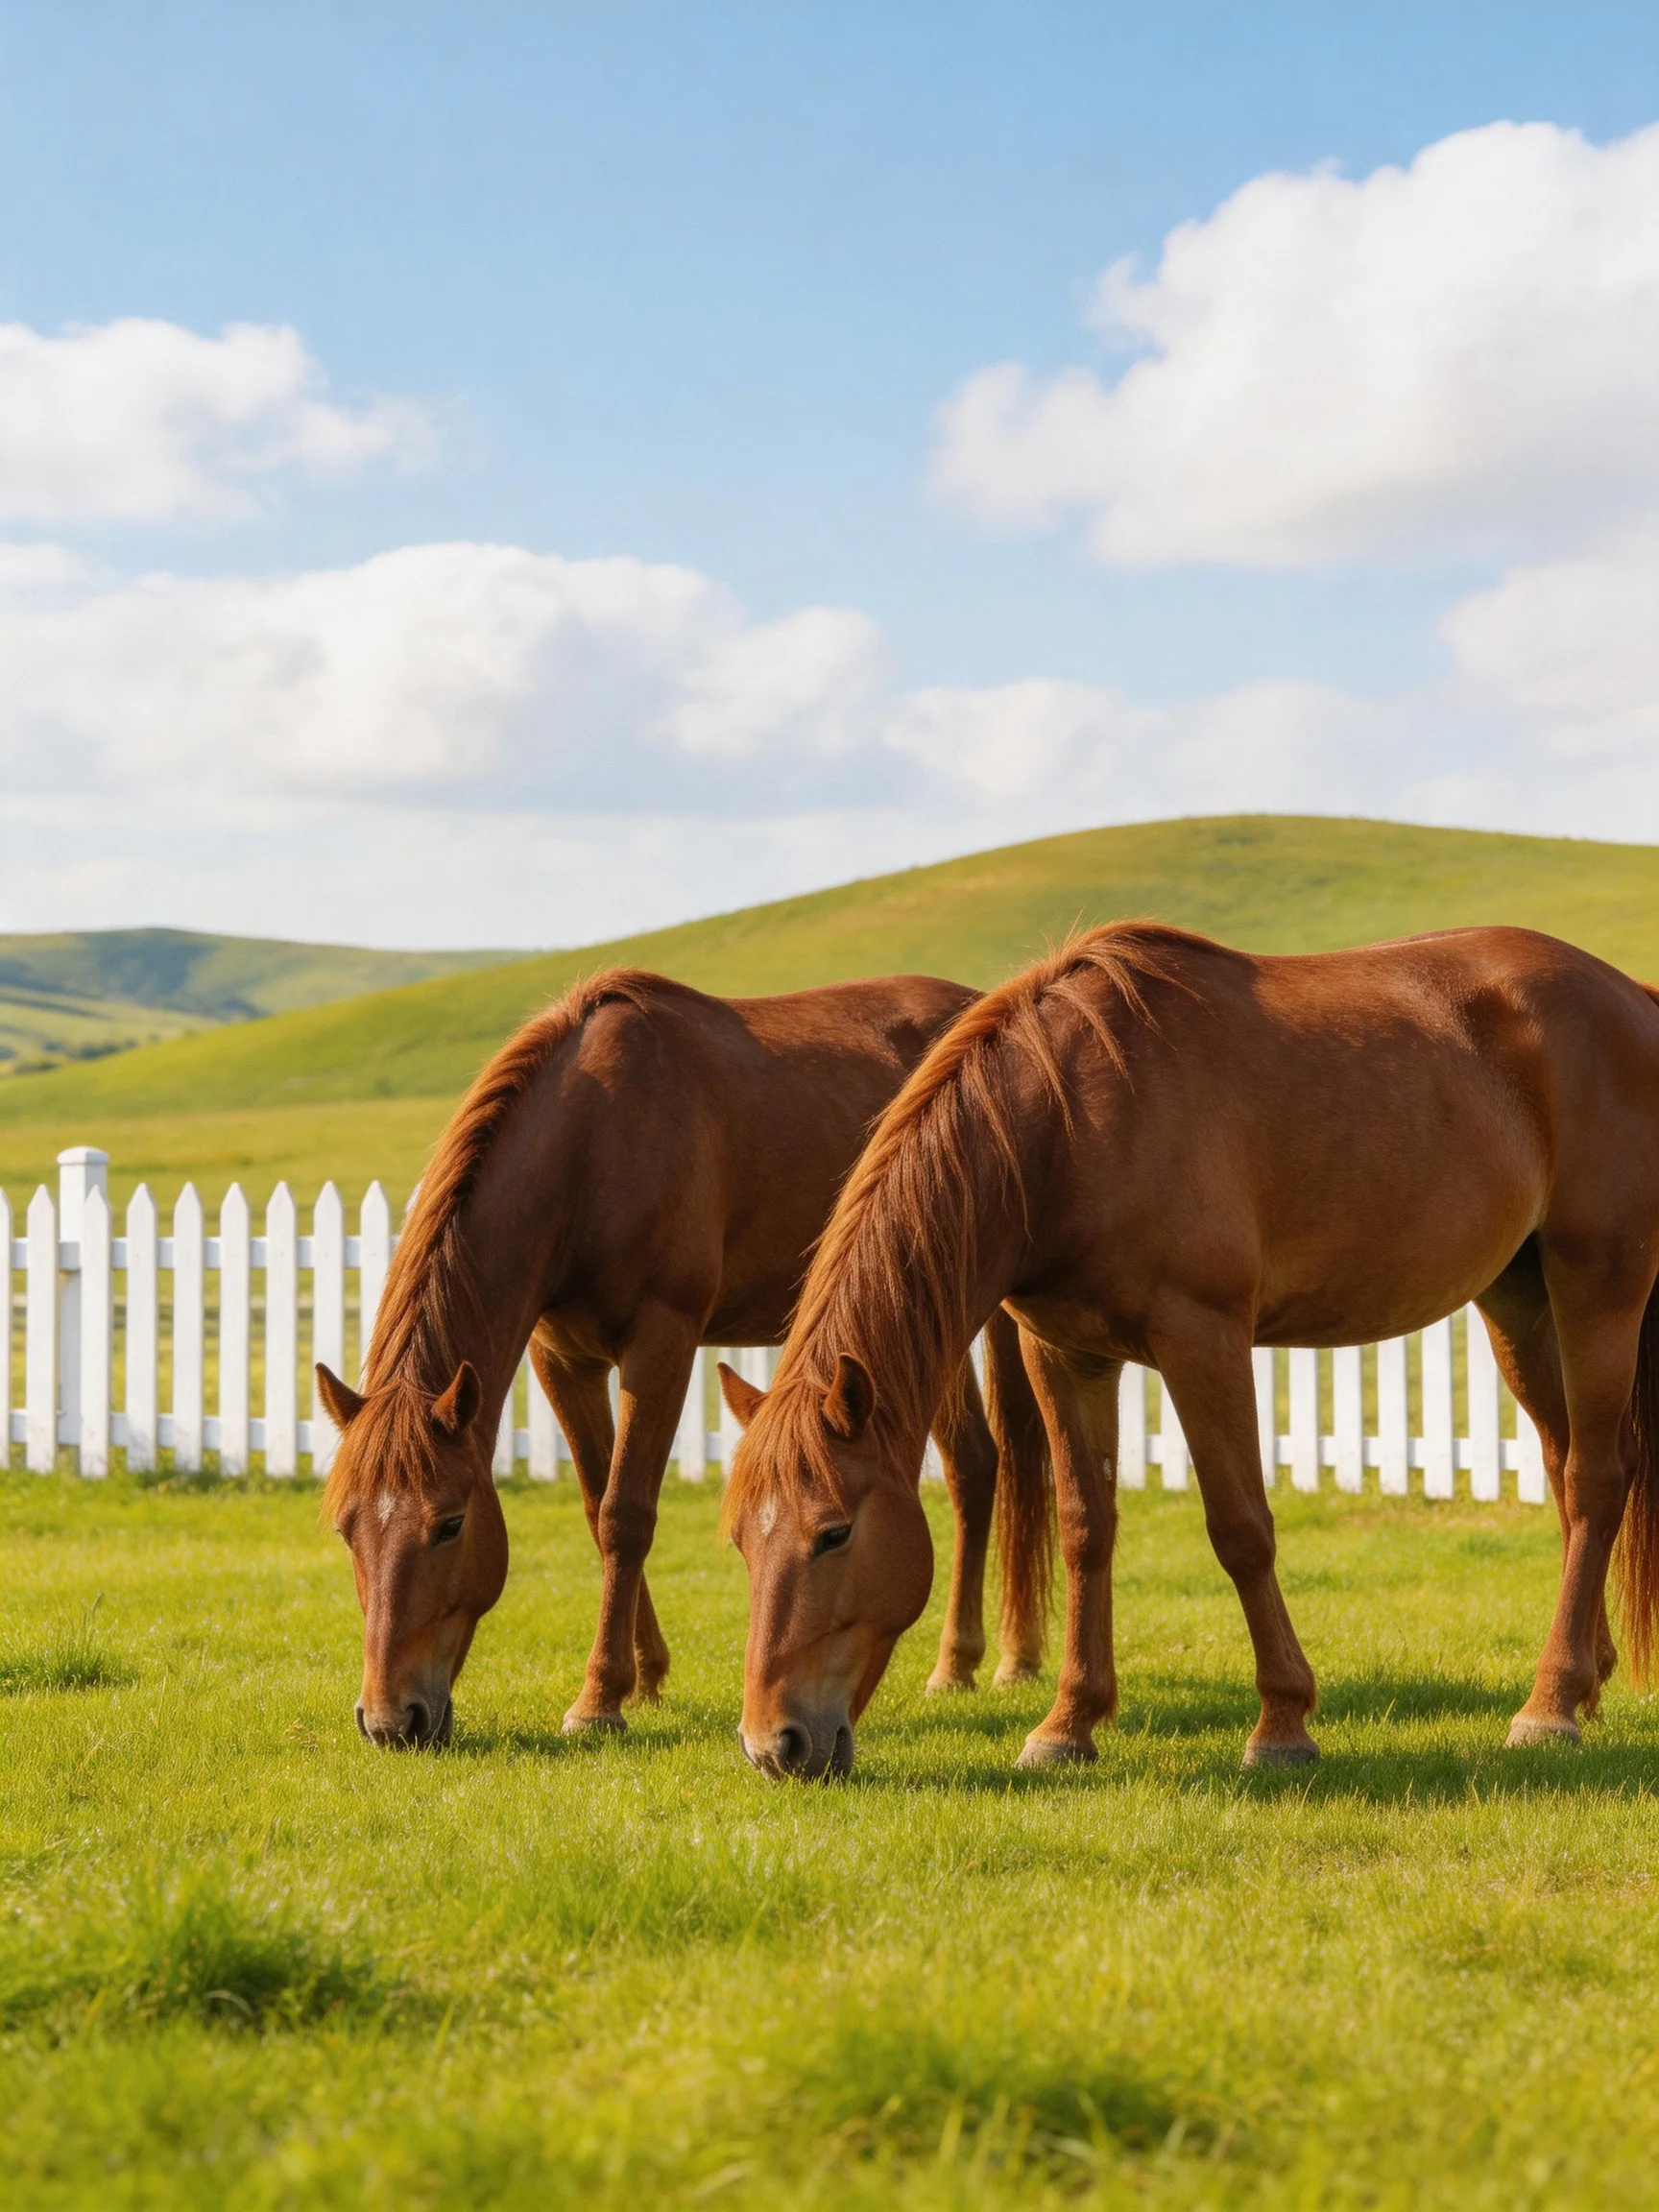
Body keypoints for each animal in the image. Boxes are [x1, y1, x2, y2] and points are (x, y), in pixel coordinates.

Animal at [316, 966, 1050, 1746]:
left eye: (449, 1524)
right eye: (346, 1529)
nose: (389, 1719)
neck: (592, 1143)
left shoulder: (661, 1342)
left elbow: (626, 1514)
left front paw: (600, 1698)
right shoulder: (562, 1359)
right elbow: (595, 1506)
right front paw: (645, 1675)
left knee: (988, 1465)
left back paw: (971, 1661)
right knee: (975, 1463)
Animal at [721, 921, 1659, 1779]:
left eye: (834, 1533)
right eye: (738, 1539)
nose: (775, 1745)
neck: (1069, 1122)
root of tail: (1631, 998)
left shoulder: (1202, 1337)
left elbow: (1240, 1527)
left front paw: (1281, 1723)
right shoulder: (1063, 1354)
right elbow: (1085, 1527)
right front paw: (1067, 1723)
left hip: (1597, 1285)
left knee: (1596, 1476)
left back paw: (1548, 1706)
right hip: (1518, 1301)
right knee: (1563, 1465)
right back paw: (1585, 1682)